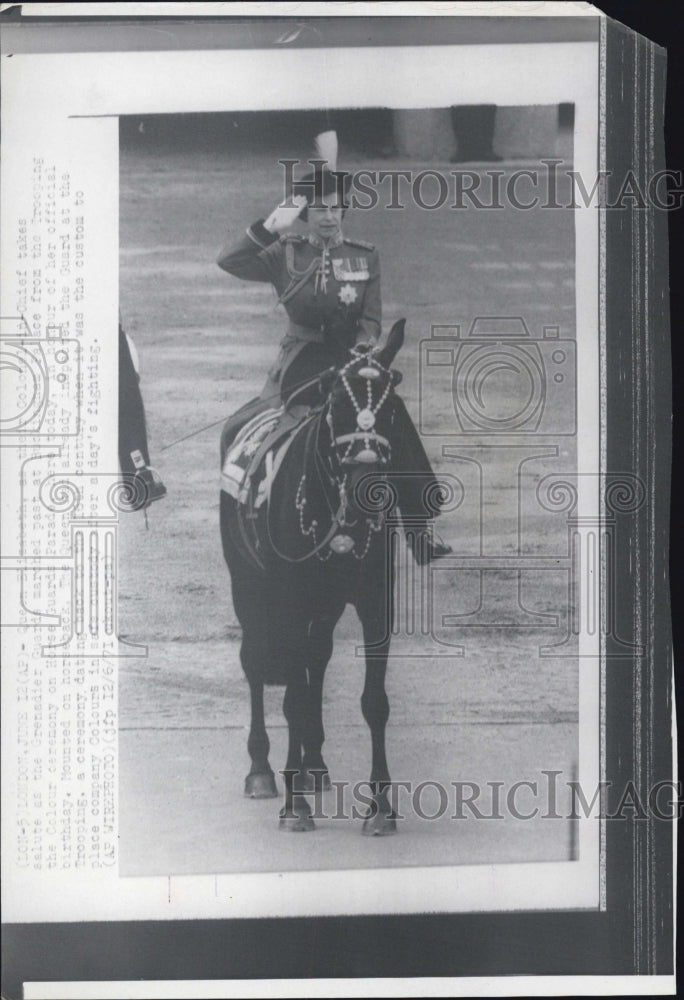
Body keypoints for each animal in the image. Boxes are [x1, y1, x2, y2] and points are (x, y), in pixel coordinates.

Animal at [222, 322, 408, 836]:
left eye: (391, 406)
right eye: (338, 402)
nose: (368, 486)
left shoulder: (374, 603)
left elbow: (373, 701)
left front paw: (379, 806)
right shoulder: (290, 601)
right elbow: (290, 696)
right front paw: (294, 807)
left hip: (323, 606)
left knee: (315, 661)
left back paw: (313, 764)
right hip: (248, 587)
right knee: (255, 662)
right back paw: (263, 769)